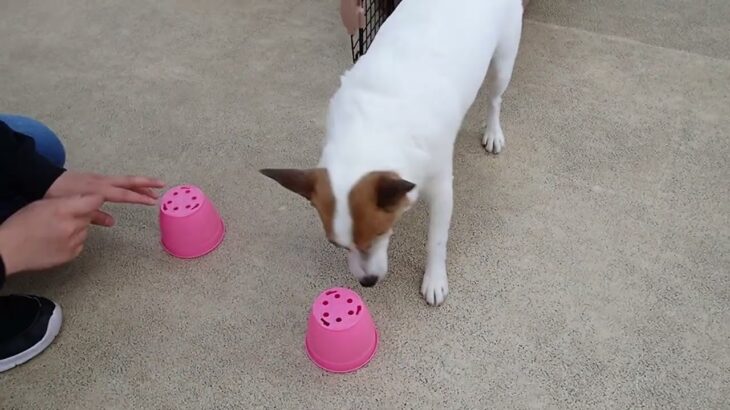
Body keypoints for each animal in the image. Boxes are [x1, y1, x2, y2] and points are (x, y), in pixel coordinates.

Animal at [262, 0, 524, 304]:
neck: (370, 130)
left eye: (379, 232)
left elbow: (436, 240)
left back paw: (493, 132)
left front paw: (435, 279)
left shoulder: (441, 189)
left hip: (502, 62)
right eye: (337, 245)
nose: (367, 282)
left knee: (495, 98)